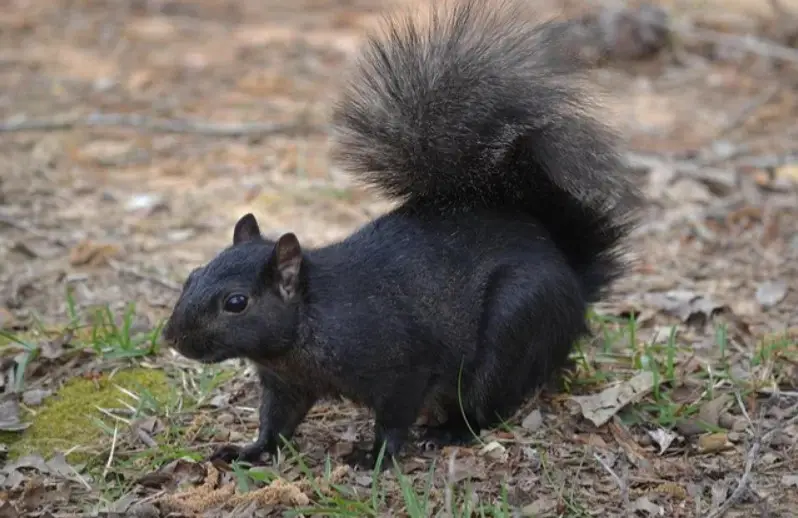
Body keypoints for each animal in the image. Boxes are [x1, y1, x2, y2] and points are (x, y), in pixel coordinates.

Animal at [161, 0, 641, 469]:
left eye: (236, 303)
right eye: (191, 275)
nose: (172, 338)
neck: (308, 322)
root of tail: (573, 276)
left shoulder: (403, 366)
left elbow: (394, 416)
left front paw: (373, 456)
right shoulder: (287, 383)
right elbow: (276, 421)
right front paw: (251, 451)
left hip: (514, 327)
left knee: (488, 403)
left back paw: (450, 431)